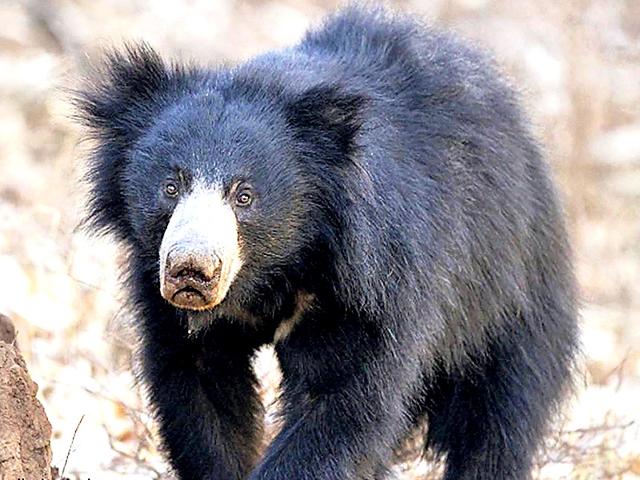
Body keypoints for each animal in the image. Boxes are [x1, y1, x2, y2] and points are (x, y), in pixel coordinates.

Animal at [76, 4, 580, 480]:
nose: (192, 270)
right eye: (171, 186)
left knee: (499, 417)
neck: (277, 267)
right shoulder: (160, 292)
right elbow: (200, 392)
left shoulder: (369, 280)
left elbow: (343, 399)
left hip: (506, 294)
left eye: (245, 195)